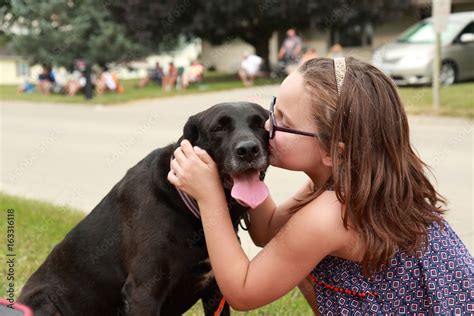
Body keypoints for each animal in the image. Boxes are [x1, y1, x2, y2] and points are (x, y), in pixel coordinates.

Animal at [17, 102, 270, 314]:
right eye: (218, 128)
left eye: (260, 124)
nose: (248, 150)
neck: (190, 203)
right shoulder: (143, 292)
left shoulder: (216, 290)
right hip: (46, 302)